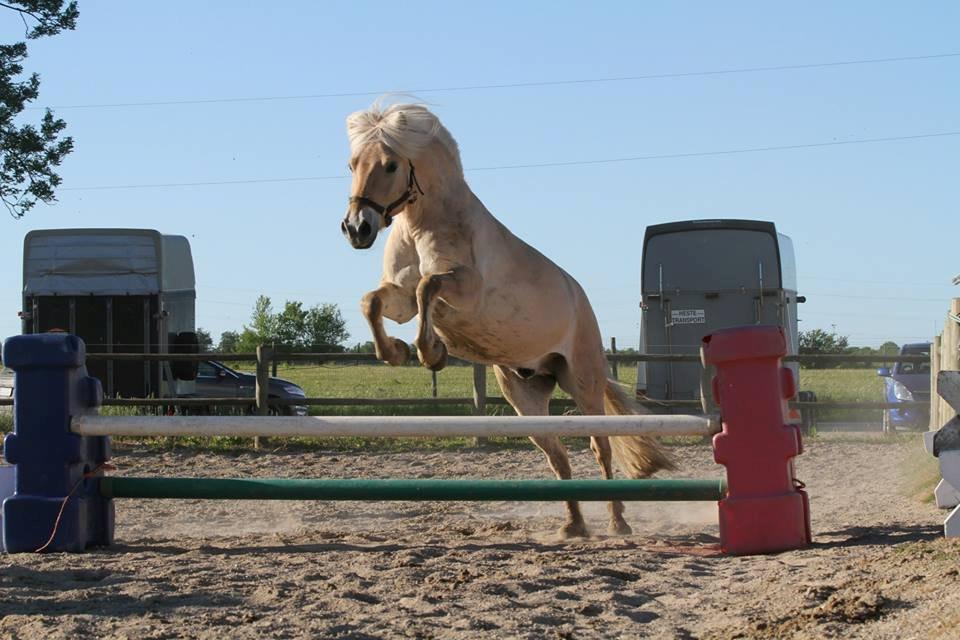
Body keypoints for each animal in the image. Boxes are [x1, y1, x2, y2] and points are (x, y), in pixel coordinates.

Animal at [342, 101, 672, 540]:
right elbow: (373, 302)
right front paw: (394, 352)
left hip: (582, 383)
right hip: (526, 397)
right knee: (558, 456)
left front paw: (431, 352)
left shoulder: (465, 290)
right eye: (352, 164)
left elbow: (429, 286)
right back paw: (573, 526)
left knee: (600, 447)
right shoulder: (399, 297)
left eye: (391, 165)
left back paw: (618, 521)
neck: (421, 224)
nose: (356, 229)